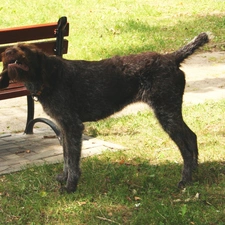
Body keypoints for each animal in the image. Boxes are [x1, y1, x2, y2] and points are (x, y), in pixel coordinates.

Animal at [0, 32, 209, 192]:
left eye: (25, 49)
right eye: (11, 48)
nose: (7, 51)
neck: (49, 77)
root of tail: (171, 58)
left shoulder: (73, 126)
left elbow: (73, 160)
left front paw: (70, 186)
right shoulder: (64, 127)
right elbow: (66, 156)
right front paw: (64, 177)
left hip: (166, 114)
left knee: (185, 147)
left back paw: (185, 180)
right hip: (171, 112)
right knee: (192, 136)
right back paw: (195, 171)